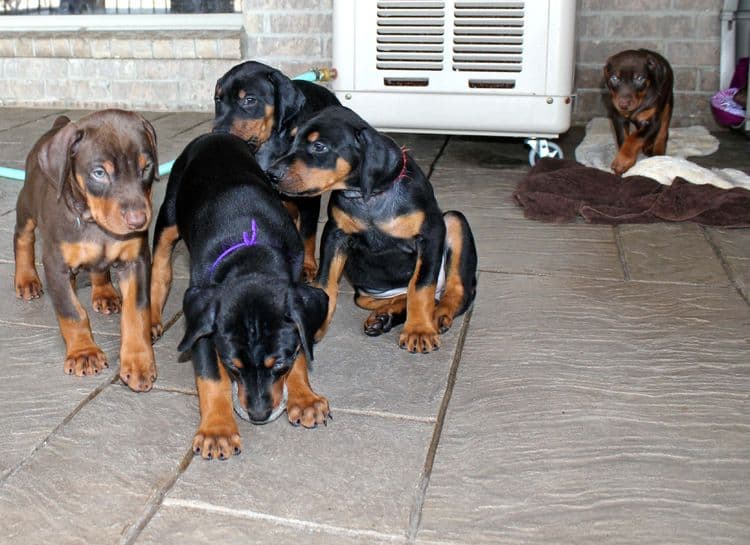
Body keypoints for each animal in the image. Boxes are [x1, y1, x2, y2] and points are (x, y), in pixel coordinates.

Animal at [13, 109, 159, 392]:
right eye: (99, 173)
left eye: (146, 167)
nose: (139, 221)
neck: (94, 224)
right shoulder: (55, 265)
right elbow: (71, 312)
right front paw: (84, 353)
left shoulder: (136, 261)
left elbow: (137, 312)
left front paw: (138, 362)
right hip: (26, 205)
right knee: (22, 238)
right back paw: (25, 279)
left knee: (99, 270)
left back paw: (105, 293)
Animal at [151, 132, 330, 460]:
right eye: (232, 366)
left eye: (280, 366)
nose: (258, 416)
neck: (251, 252)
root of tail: (215, 134)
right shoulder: (202, 325)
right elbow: (211, 378)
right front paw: (217, 431)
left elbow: (301, 351)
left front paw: (305, 399)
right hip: (168, 214)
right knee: (160, 268)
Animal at [212, 59, 340, 280]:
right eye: (218, 100)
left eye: (249, 100)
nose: (217, 132)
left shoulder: (308, 197)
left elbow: (308, 233)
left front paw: (307, 266)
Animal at [268, 106, 478, 352]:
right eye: (291, 142)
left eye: (319, 146)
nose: (272, 174)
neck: (367, 197)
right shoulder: (335, 234)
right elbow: (325, 283)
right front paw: (316, 325)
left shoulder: (431, 235)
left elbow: (420, 286)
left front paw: (419, 330)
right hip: (366, 293)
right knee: (399, 296)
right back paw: (384, 316)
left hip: (454, 222)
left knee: (455, 292)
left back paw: (437, 315)